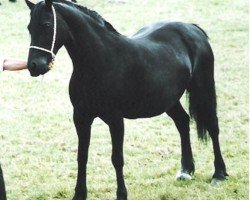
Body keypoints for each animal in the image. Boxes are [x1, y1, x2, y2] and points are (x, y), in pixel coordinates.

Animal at [24, 0, 227, 199]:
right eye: (29, 27)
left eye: (47, 25)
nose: (34, 66)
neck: (100, 60)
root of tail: (192, 28)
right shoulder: (81, 118)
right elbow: (82, 156)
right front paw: (79, 194)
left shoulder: (115, 119)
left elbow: (117, 158)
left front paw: (121, 194)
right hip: (168, 99)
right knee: (183, 122)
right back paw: (186, 170)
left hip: (203, 89)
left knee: (213, 126)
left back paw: (219, 174)